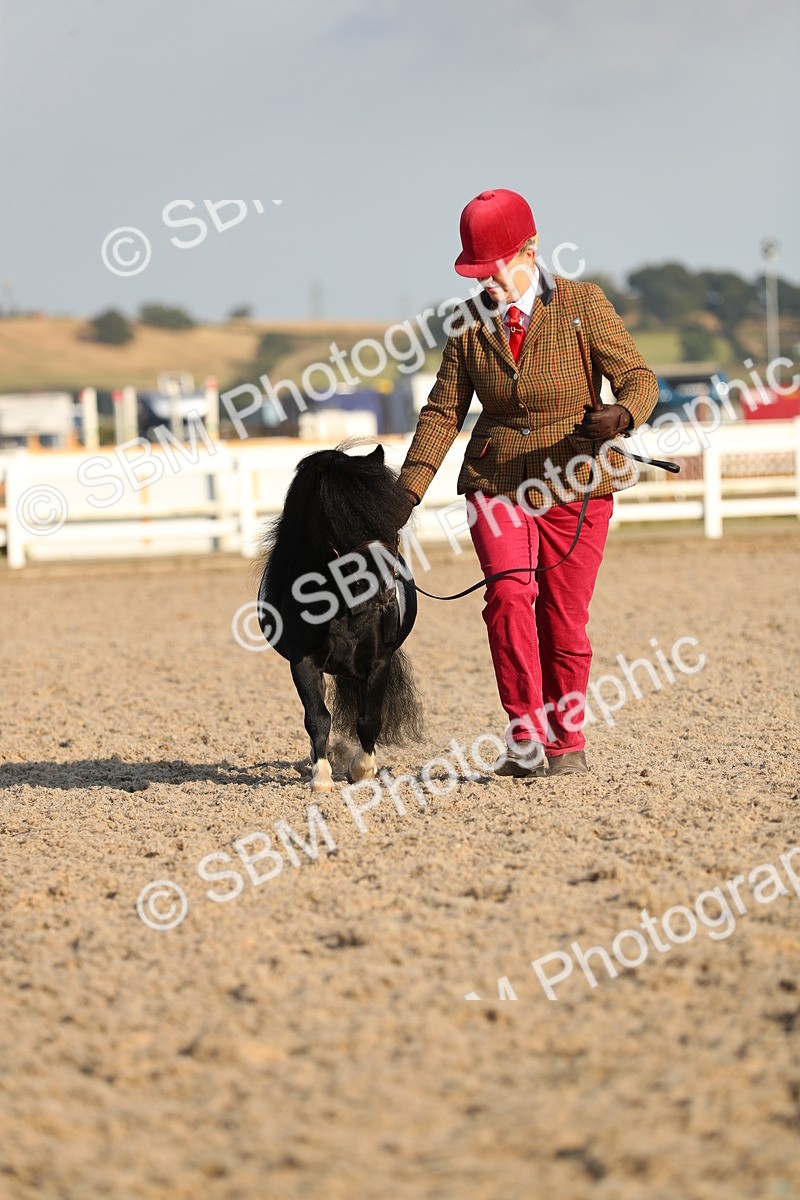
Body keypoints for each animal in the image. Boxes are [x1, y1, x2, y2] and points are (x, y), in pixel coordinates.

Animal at [257, 443, 422, 792]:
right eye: (339, 524)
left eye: (391, 520)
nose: (384, 590)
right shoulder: (303, 663)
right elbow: (318, 718)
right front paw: (321, 778)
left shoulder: (378, 663)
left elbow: (369, 718)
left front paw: (362, 771)